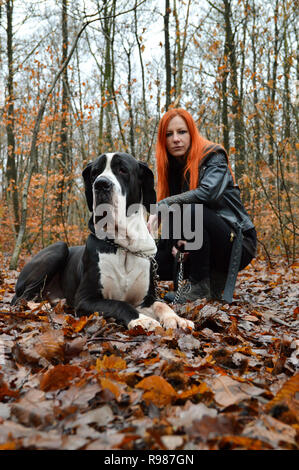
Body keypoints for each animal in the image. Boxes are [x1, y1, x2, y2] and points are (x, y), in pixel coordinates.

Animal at [11, 153, 193, 330]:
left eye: (122, 170)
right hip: (58, 248)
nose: (101, 184)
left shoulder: (146, 299)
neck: (124, 245)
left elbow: (162, 305)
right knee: (21, 298)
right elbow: (120, 304)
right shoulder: (85, 299)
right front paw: (142, 320)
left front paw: (177, 318)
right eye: (94, 173)